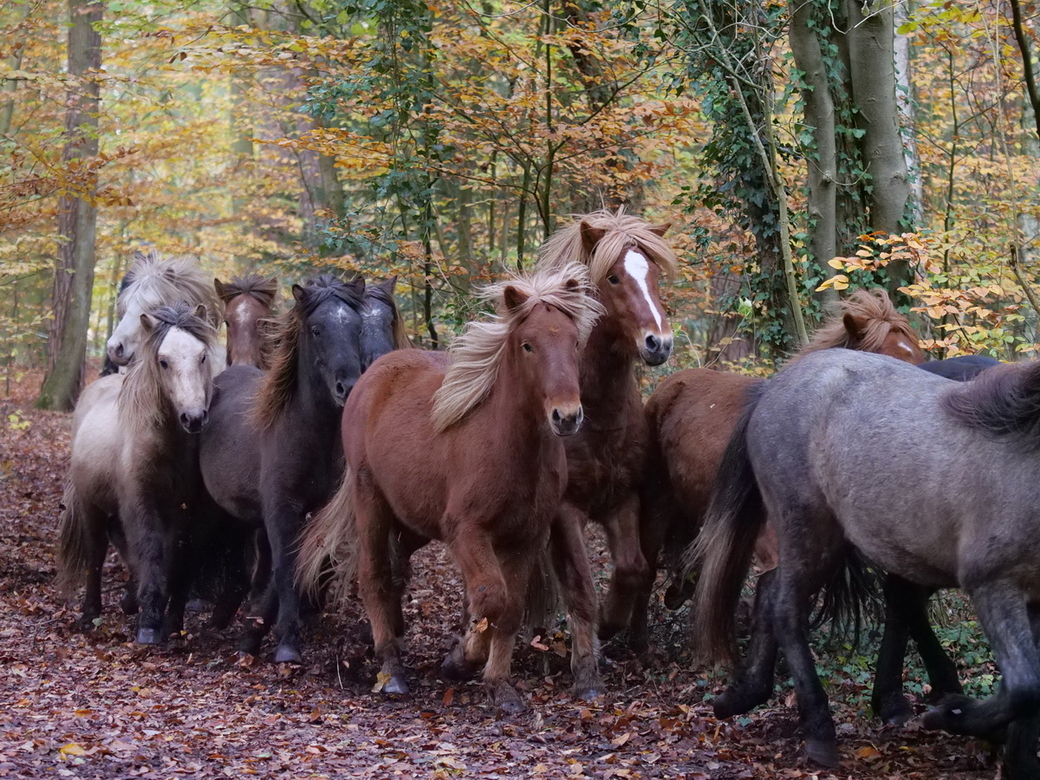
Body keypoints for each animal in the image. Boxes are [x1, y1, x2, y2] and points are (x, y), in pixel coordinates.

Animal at [56, 303, 219, 640]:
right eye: (164, 361)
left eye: (202, 356)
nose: (194, 417)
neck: (165, 444)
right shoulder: (142, 503)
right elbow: (151, 550)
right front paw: (149, 624)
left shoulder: (182, 509)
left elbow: (175, 557)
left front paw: (172, 622)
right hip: (91, 506)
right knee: (97, 551)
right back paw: (90, 614)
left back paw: (129, 600)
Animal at [297, 264, 603, 715]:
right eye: (528, 345)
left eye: (575, 342)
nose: (566, 416)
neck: (509, 447)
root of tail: (371, 376)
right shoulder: (467, 532)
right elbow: (490, 598)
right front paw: (462, 659)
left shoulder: (525, 538)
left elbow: (510, 608)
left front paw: (499, 684)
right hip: (370, 499)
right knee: (374, 576)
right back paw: (391, 669)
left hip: (412, 521)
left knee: (397, 571)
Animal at [528, 205, 673, 661]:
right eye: (612, 277)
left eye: (654, 275)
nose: (659, 343)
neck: (597, 415)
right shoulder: (567, 510)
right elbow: (581, 586)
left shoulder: (622, 499)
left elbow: (631, 569)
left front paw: (611, 623)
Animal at [690, 349, 1040, 780]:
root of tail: (774, 386)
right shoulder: (993, 585)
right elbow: (1024, 687)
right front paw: (950, 713)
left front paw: (1017, 760)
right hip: (811, 531)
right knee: (786, 609)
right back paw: (819, 730)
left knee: (772, 592)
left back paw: (744, 694)